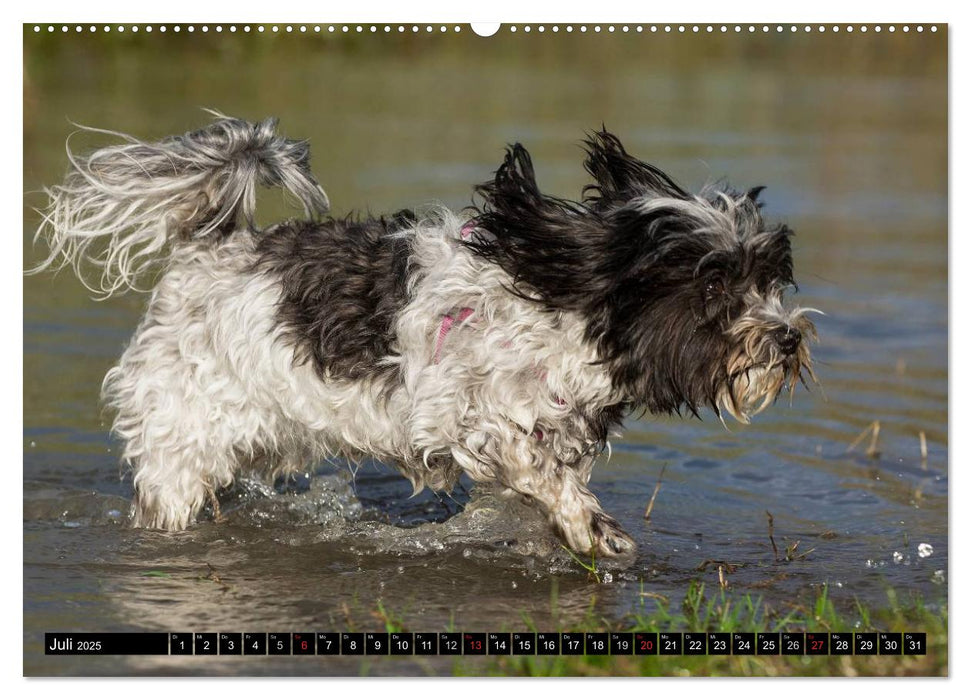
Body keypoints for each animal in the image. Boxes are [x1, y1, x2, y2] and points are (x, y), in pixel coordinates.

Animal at [34, 115, 816, 556]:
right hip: (178, 452)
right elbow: (539, 471)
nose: (786, 338)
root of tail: (213, 246)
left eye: (772, 277)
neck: (561, 312)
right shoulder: (464, 418)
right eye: (714, 287)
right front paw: (593, 530)